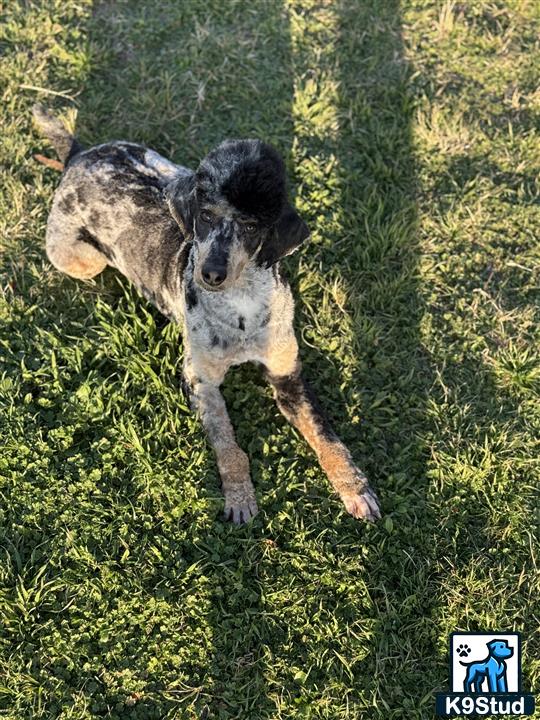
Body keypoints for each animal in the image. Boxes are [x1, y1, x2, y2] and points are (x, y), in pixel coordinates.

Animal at [33, 104, 382, 524]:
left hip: (169, 167)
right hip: (85, 258)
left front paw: (354, 487)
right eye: (206, 215)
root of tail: (79, 156)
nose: (211, 273)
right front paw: (240, 496)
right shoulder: (200, 381)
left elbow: (327, 436)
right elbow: (228, 447)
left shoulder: (287, 374)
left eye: (250, 224)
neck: (242, 307)